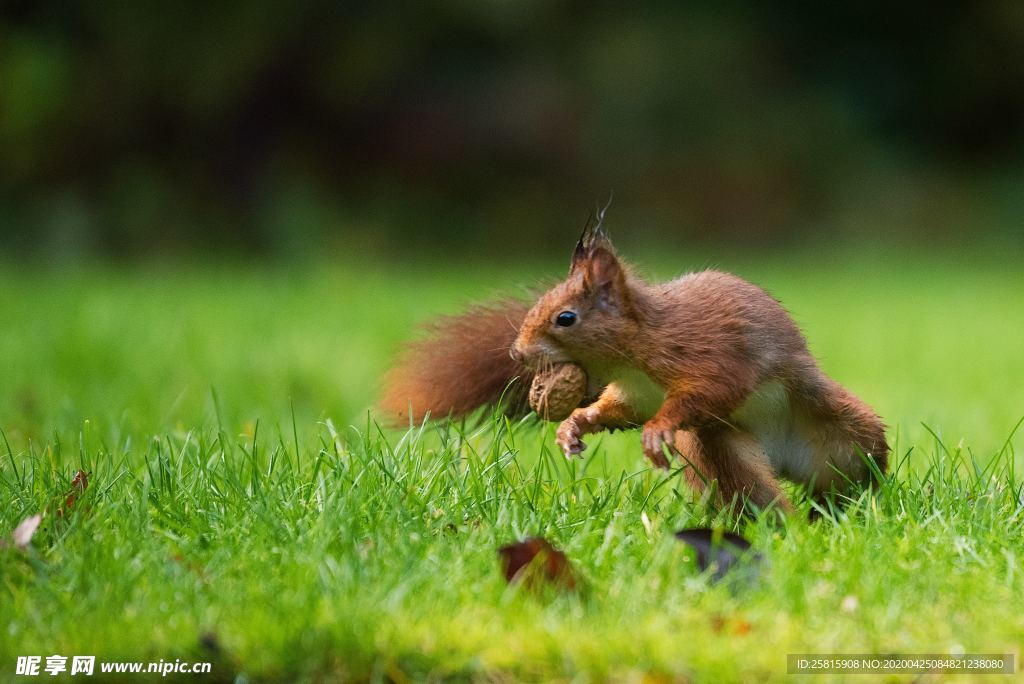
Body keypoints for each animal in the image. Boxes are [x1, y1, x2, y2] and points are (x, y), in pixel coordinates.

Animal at [385, 210, 888, 509]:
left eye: (565, 318)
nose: (516, 351)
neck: (633, 355)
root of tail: (781, 457)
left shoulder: (709, 354)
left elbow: (707, 391)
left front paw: (656, 430)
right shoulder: (633, 393)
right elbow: (615, 411)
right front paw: (574, 427)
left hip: (842, 433)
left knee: (854, 468)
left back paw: (856, 504)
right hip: (723, 451)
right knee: (753, 491)